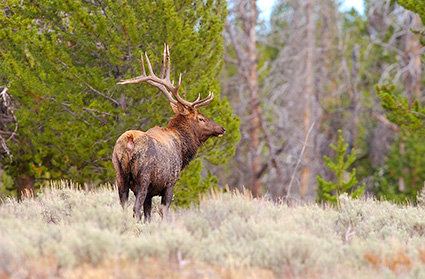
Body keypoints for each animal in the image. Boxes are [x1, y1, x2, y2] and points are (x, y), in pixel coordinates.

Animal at [112, 44, 225, 222]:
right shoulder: (170, 183)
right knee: (135, 209)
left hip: (120, 175)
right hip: (143, 177)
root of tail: (129, 139)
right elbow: (163, 212)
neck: (183, 150)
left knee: (123, 207)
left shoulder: (151, 192)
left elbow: (148, 216)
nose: (222, 128)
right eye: (201, 118)